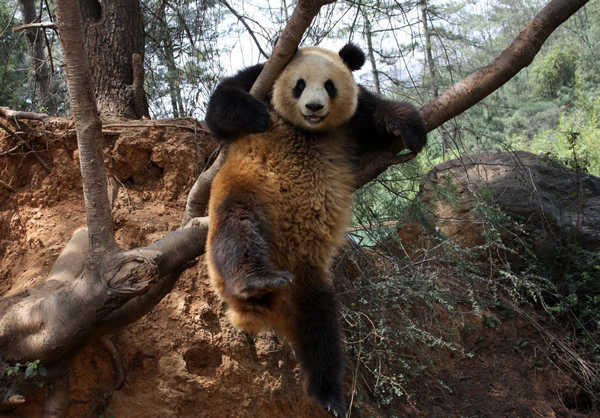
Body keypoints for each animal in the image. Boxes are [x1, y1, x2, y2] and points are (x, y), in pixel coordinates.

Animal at [205, 42, 426, 414]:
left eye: (329, 86)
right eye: (299, 84)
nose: (313, 107)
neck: (308, 131)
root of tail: (263, 308)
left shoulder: (352, 124)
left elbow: (376, 117)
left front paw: (409, 128)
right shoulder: (259, 78)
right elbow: (222, 105)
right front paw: (256, 114)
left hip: (310, 283)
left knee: (321, 333)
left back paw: (329, 394)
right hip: (247, 195)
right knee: (237, 229)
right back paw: (253, 278)